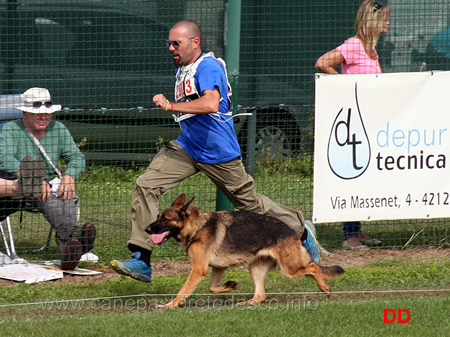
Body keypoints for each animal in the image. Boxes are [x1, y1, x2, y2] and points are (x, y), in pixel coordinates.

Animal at [146, 194, 342, 308]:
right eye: (157, 217)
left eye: (164, 219)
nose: (147, 229)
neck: (197, 227)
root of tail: (294, 233)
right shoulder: (218, 267)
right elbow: (212, 288)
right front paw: (229, 286)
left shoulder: (199, 269)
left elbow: (184, 290)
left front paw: (170, 305)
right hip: (256, 269)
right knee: (261, 295)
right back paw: (249, 302)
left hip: (289, 269)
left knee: (313, 266)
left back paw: (325, 288)